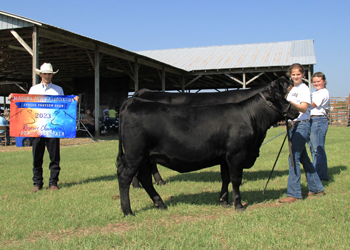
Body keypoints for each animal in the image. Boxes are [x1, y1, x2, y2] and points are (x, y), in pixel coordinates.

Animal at [117, 79, 298, 216]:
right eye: (283, 99)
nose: (296, 112)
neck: (250, 116)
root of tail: (134, 101)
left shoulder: (225, 158)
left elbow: (225, 178)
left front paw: (224, 201)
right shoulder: (236, 155)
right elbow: (235, 179)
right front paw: (238, 204)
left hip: (145, 158)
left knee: (145, 178)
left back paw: (160, 203)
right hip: (135, 156)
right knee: (125, 177)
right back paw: (128, 211)